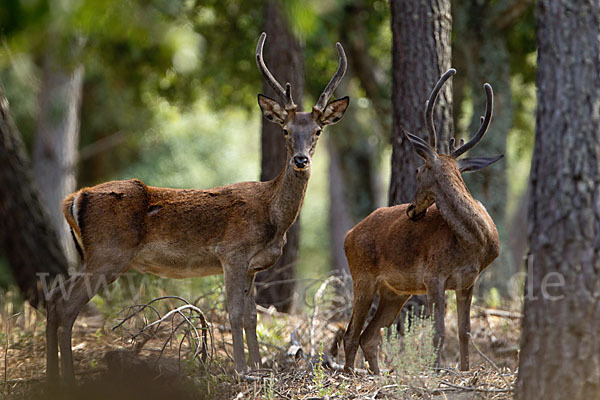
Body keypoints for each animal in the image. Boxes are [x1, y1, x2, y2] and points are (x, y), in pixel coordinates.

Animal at [48, 32, 352, 382]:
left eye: (318, 130)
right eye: (286, 130)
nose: (301, 160)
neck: (273, 219)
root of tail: (73, 199)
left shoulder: (253, 266)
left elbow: (252, 318)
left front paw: (260, 368)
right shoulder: (232, 252)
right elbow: (234, 313)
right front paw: (242, 370)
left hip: (91, 256)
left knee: (53, 299)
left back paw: (52, 377)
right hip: (107, 254)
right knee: (65, 307)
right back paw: (67, 379)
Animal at [342, 69, 502, 376]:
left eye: (417, 171)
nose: (410, 210)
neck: (475, 242)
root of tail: (348, 235)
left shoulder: (468, 281)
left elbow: (464, 331)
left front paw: (464, 370)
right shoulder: (433, 276)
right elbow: (438, 332)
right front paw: (438, 371)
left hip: (395, 292)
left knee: (370, 335)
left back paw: (376, 375)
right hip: (362, 276)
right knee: (351, 333)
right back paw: (349, 375)